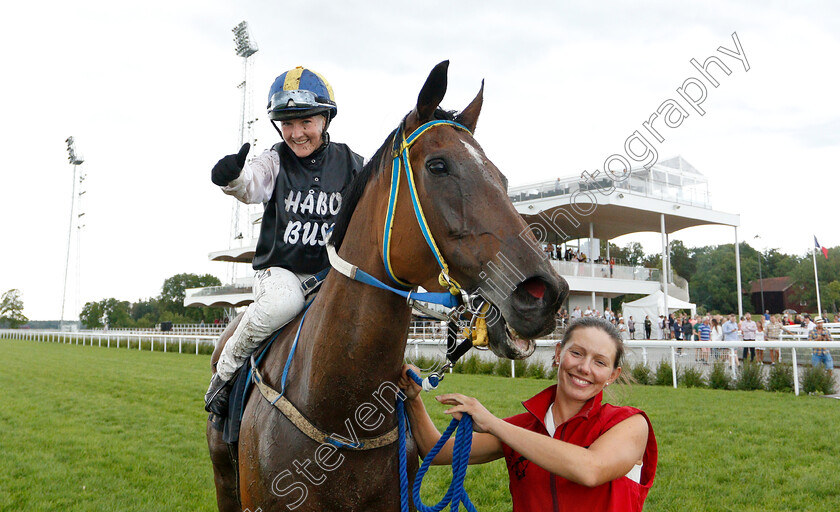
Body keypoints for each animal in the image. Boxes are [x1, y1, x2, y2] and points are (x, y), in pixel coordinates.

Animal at [207, 63, 568, 512]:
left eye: (501, 176)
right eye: (438, 166)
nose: (544, 293)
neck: (342, 416)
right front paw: (232, 170)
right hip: (225, 479)